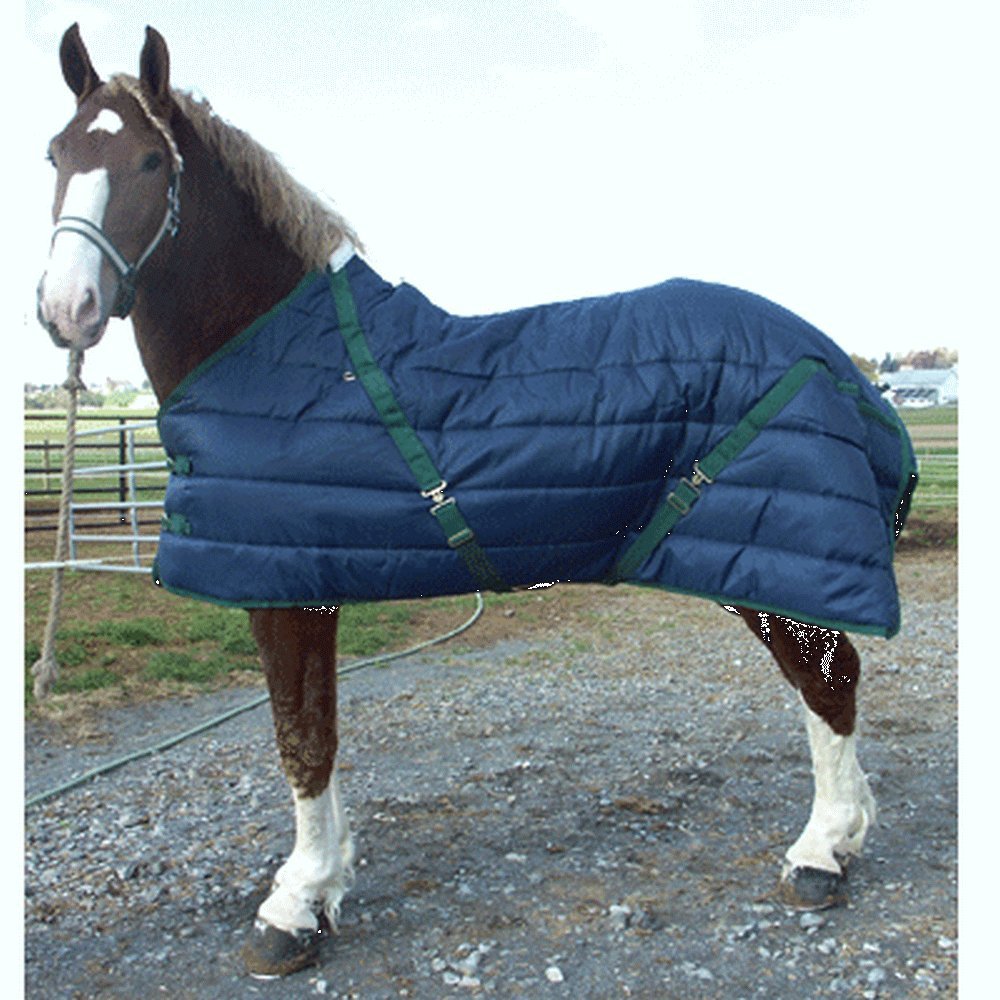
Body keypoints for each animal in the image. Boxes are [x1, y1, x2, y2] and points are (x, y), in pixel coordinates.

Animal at [37, 24, 914, 978]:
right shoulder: (310, 586)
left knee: (827, 685)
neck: (290, 358)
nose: (66, 307)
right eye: (57, 153)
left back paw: (822, 853)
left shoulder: (285, 592)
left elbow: (301, 742)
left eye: (152, 160)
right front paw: (328, 883)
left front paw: (295, 906)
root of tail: (831, 357)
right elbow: (319, 736)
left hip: (772, 565)